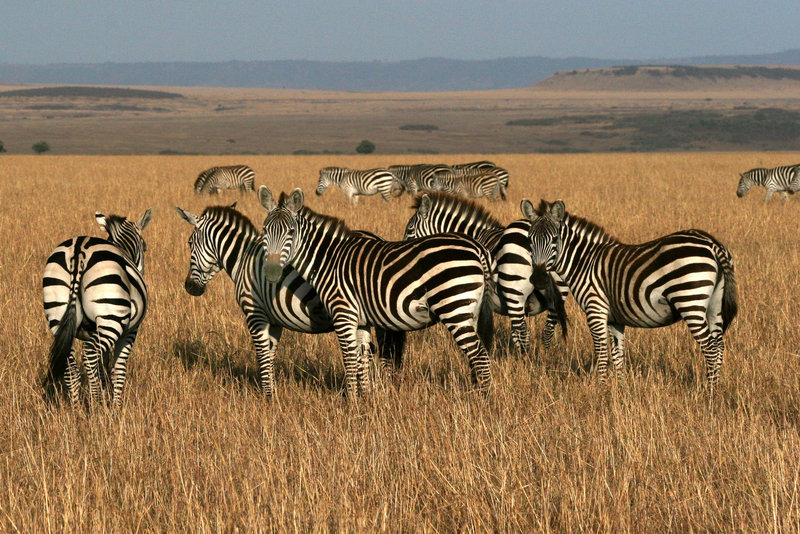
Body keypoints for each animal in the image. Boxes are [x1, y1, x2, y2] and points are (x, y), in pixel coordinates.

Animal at [42, 209, 152, 410]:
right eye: (145, 247)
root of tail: (79, 249)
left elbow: (103, 369)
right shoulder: (130, 330)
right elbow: (118, 369)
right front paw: (116, 408)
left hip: (57, 315)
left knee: (71, 369)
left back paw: (77, 411)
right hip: (111, 318)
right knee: (89, 353)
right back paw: (97, 406)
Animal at [172, 203, 404, 396]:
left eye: (189, 243)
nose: (189, 287)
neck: (243, 259)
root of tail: (376, 238)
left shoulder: (255, 313)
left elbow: (262, 354)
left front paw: (267, 398)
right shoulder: (273, 321)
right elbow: (270, 354)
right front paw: (272, 393)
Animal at [258, 187, 494, 398]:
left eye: (291, 232)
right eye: (264, 231)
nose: (271, 272)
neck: (328, 260)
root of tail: (476, 247)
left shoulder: (343, 314)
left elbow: (349, 359)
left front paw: (351, 403)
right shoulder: (361, 320)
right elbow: (363, 356)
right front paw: (366, 399)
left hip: (453, 306)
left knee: (479, 355)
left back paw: (483, 400)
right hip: (470, 310)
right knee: (476, 354)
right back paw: (476, 392)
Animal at [524, 200, 736, 386]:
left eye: (554, 240)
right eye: (529, 241)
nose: (538, 279)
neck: (585, 262)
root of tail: (711, 243)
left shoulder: (595, 309)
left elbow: (602, 354)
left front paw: (602, 391)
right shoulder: (614, 319)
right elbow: (618, 355)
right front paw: (621, 390)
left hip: (690, 300)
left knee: (710, 349)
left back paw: (709, 394)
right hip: (714, 305)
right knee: (719, 346)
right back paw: (716, 388)